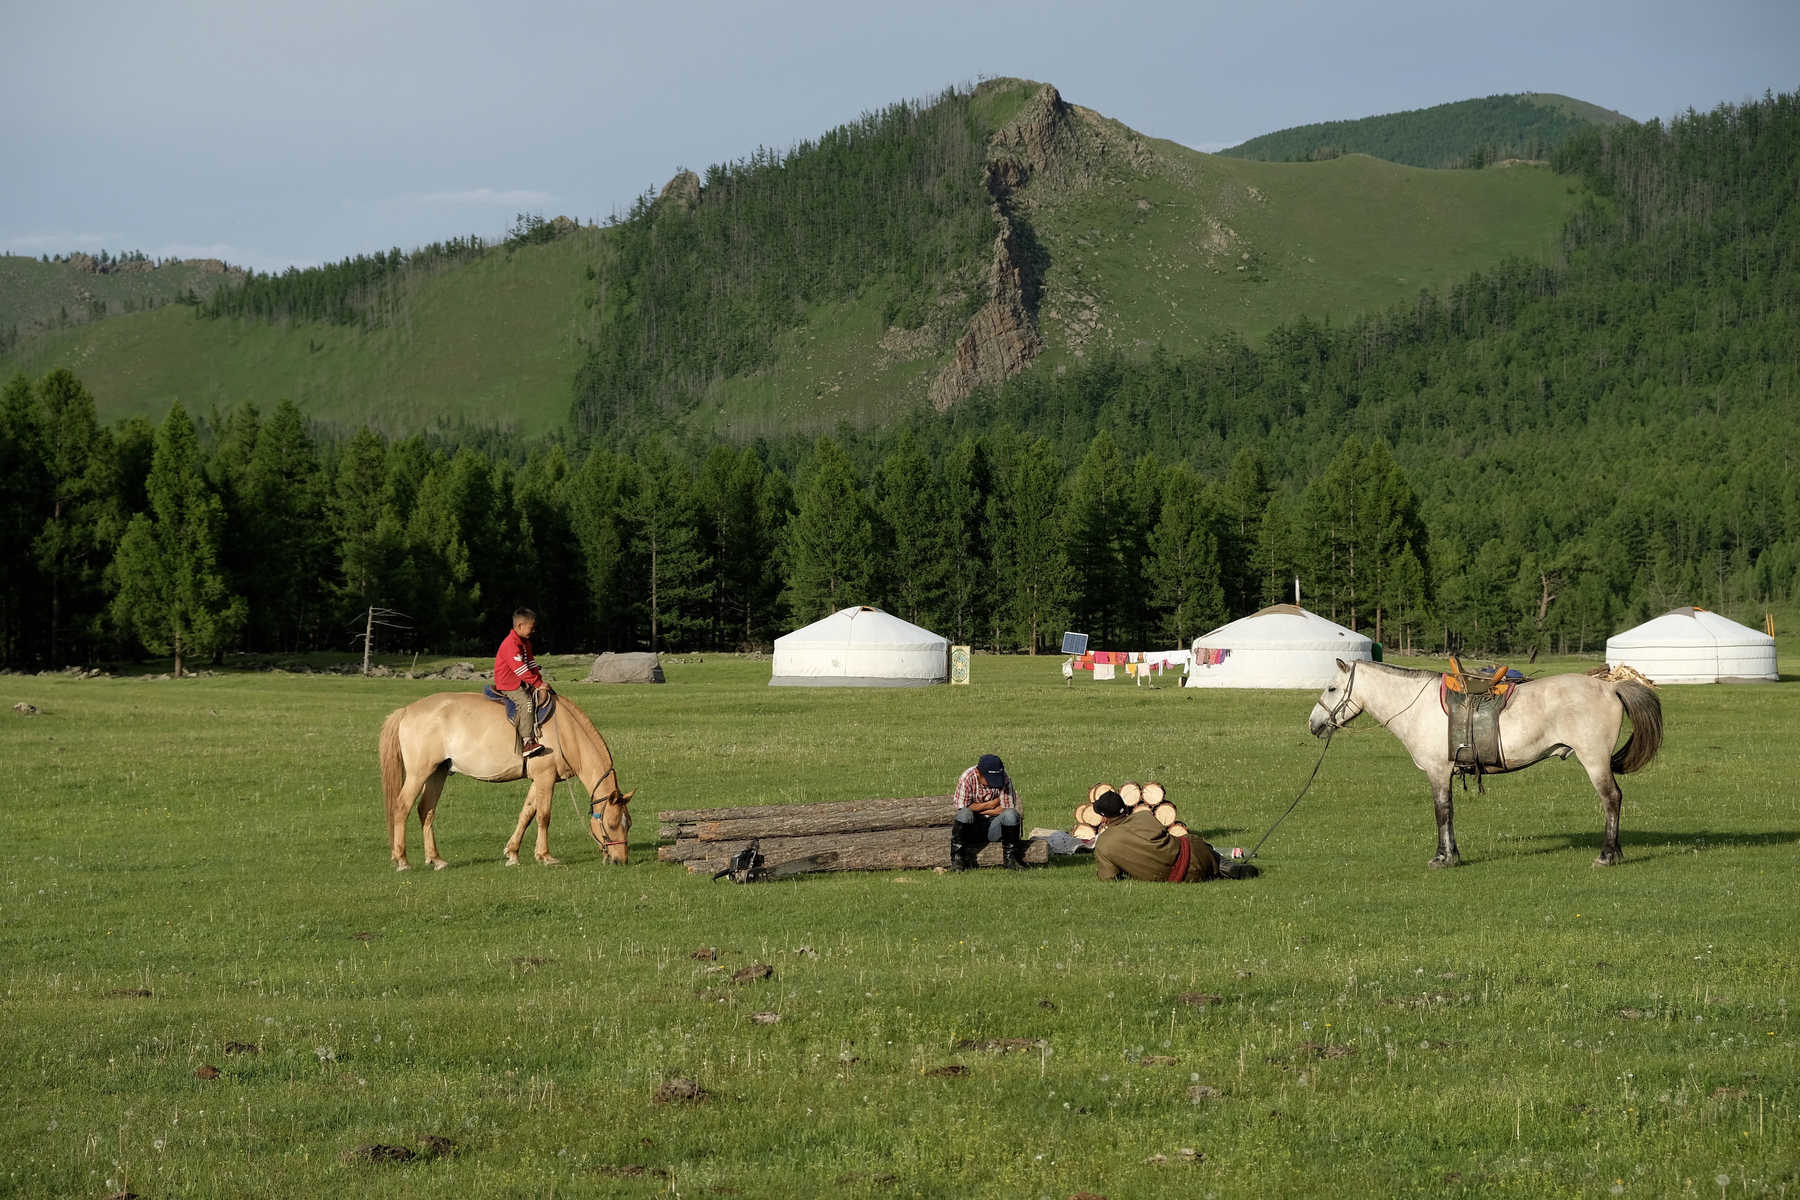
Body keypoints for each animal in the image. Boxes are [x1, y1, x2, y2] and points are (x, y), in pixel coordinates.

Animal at [376, 694, 637, 874]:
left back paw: (436, 858)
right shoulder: (545, 778)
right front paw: (545, 855)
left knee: (426, 811)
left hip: (437, 773)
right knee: (402, 808)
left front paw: (512, 853)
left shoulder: (540, 779)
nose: (620, 860)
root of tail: (406, 711)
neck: (565, 731)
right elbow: (544, 816)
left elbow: (527, 814)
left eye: (629, 824)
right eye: (611, 824)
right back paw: (402, 859)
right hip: (419, 773)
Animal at [1303, 662, 1663, 867]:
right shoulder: (1446, 773)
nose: (1313, 724)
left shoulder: (1437, 771)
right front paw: (1454, 855)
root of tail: (1610, 686)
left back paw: (1607, 855)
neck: (1418, 707)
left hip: (1595, 760)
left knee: (1611, 800)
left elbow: (1441, 812)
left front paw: (1442, 858)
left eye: (1332, 688)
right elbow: (1449, 814)